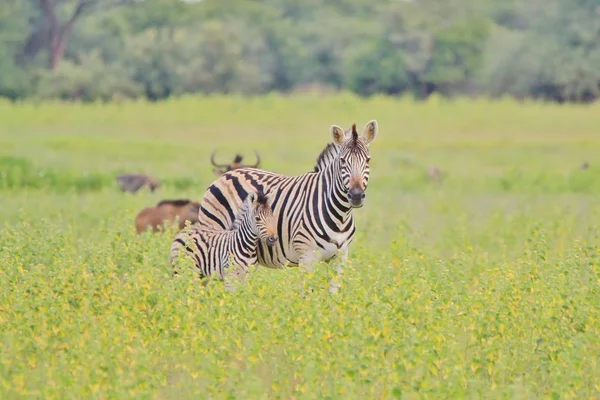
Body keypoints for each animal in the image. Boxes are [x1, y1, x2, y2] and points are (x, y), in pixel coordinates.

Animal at [197, 120, 378, 270]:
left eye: (368, 160)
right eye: (342, 161)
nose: (356, 196)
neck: (340, 215)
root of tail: (227, 174)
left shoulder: (340, 258)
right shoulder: (306, 256)